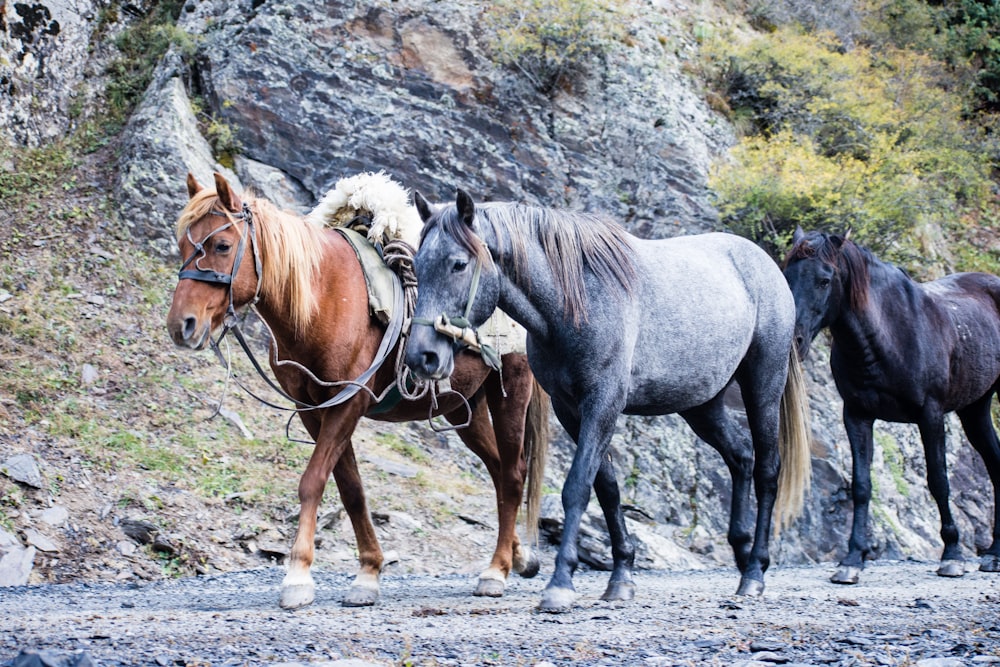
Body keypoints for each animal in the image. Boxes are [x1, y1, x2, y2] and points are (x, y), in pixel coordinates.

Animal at [167, 174, 552, 612]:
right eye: (182, 245)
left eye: (222, 245)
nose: (182, 325)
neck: (323, 296)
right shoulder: (313, 409)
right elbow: (351, 489)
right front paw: (368, 572)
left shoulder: (348, 402)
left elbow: (313, 481)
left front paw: (297, 577)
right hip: (461, 408)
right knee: (497, 468)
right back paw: (519, 557)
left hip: (510, 394)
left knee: (513, 474)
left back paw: (497, 570)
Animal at [406, 190, 812, 612]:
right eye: (417, 264)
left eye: (458, 264)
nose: (422, 357)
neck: (576, 302)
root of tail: (765, 265)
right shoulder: (571, 411)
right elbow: (608, 489)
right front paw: (621, 577)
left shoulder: (602, 404)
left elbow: (577, 488)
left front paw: (561, 582)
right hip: (702, 406)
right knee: (741, 457)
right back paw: (742, 552)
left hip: (762, 388)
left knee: (767, 470)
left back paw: (755, 571)